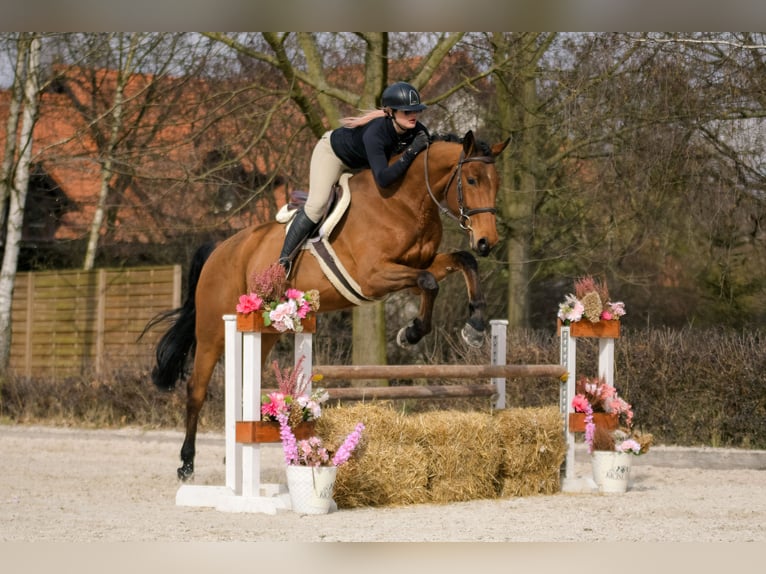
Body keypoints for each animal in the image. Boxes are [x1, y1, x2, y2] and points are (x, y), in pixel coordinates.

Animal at [146, 130, 510, 480]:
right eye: (472, 180)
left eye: (496, 183)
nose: (487, 242)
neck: (405, 201)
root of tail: (221, 248)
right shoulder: (374, 276)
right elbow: (429, 282)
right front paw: (414, 332)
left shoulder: (419, 263)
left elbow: (458, 265)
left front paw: (472, 328)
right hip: (214, 330)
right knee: (196, 389)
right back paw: (186, 464)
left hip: (265, 332)